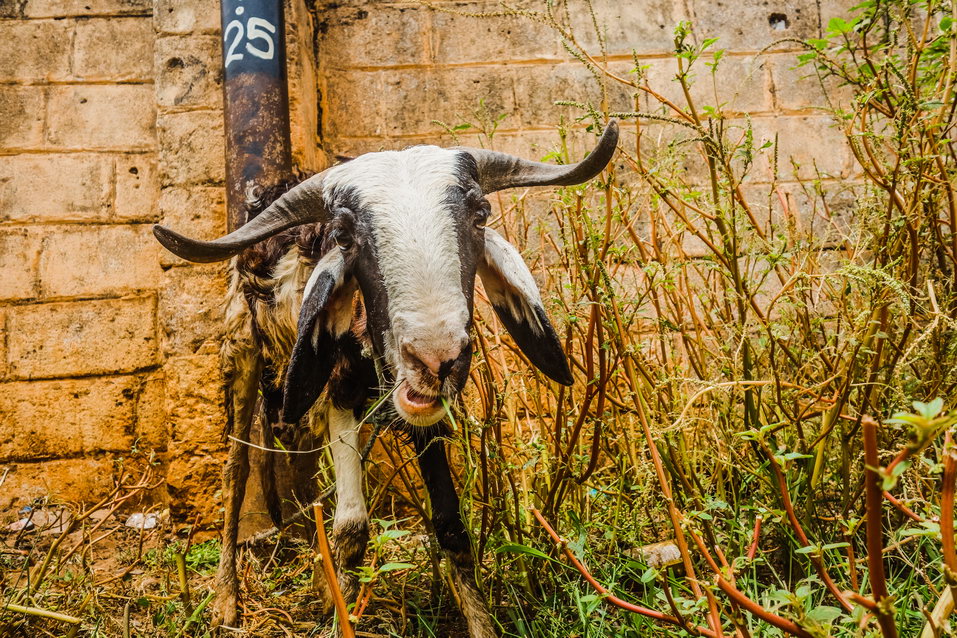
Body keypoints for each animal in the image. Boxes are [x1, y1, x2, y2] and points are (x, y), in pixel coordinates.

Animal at [151, 119, 620, 636]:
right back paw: (226, 600)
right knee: (236, 469)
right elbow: (352, 528)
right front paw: (337, 612)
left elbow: (450, 525)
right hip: (242, 347)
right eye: (343, 234)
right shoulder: (335, 390)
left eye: (480, 214)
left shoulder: (425, 407)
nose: (437, 358)